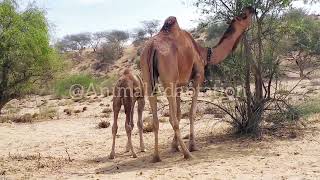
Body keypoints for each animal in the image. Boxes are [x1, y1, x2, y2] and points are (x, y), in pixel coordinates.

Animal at [141, 6, 256, 162]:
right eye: (244, 15)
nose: (252, 9)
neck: (203, 53)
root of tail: (152, 47)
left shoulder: (178, 84)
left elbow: (179, 112)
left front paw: (174, 146)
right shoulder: (197, 77)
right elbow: (191, 113)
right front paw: (192, 146)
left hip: (148, 79)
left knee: (157, 118)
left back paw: (156, 156)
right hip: (168, 80)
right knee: (172, 119)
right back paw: (187, 154)